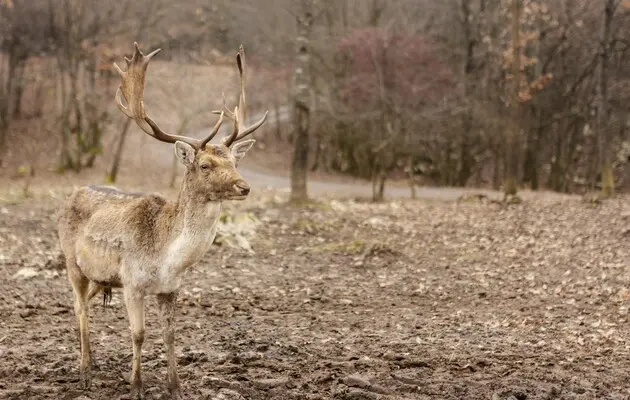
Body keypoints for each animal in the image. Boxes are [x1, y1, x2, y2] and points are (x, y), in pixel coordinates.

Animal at [56, 42, 270, 398]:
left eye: (234, 161)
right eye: (205, 165)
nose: (244, 186)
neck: (166, 257)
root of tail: (70, 195)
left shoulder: (170, 288)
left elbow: (170, 335)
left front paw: (176, 387)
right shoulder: (131, 282)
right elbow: (138, 334)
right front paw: (136, 387)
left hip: (101, 276)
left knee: (83, 304)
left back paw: (93, 363)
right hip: (72, 263)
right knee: (79, 307)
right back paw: (85, 373)